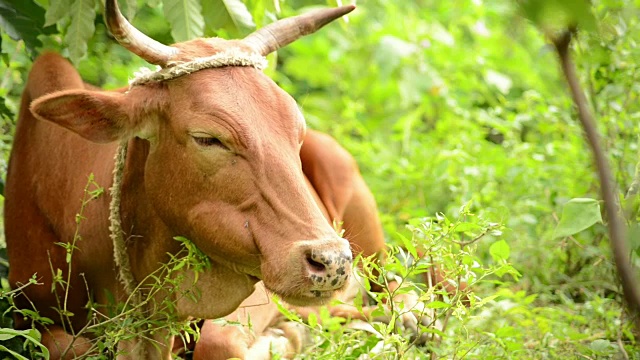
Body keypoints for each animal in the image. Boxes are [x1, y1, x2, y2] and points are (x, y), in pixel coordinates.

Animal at [3, 1, 364, 358]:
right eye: (207, 138)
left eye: (296, 132)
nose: (332, 261)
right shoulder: (29, 311)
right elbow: (70, 347)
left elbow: (220, 342)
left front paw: (294, 334)